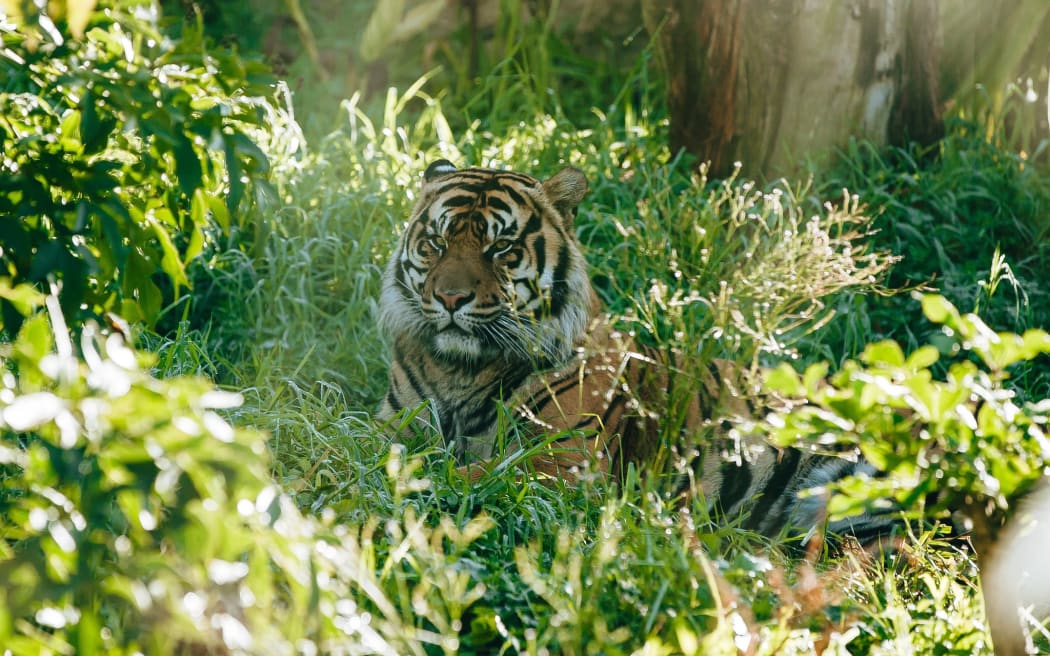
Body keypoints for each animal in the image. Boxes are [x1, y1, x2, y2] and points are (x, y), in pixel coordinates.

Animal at [375, 161, 894, 545]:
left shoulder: (564, 462)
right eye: (436, 242)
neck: (459, 368)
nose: (450, 298)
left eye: (500, 247)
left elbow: (467, 471)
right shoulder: (395, 422)